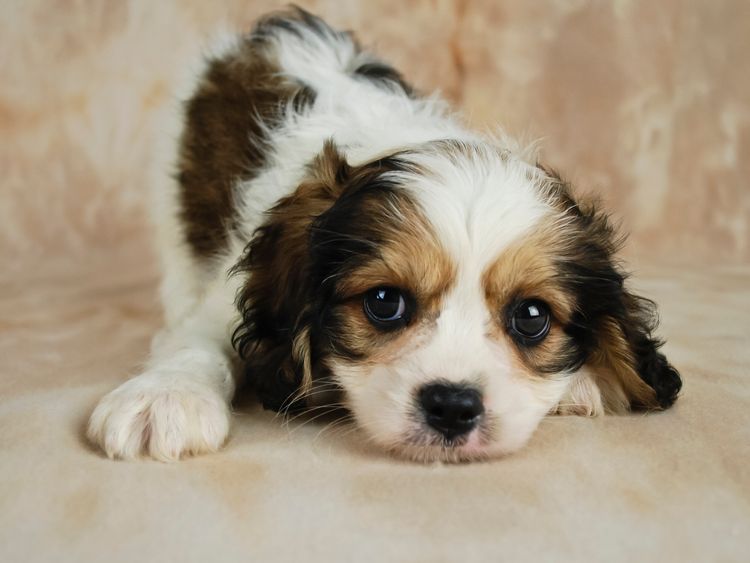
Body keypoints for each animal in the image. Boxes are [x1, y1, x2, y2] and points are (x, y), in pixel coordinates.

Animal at [86, 7, 680, 462]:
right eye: (384, 303)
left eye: (532, 317)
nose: (453, 407)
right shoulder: (226, 297)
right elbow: (199, 339)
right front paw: (165, 397)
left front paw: (582, 379)